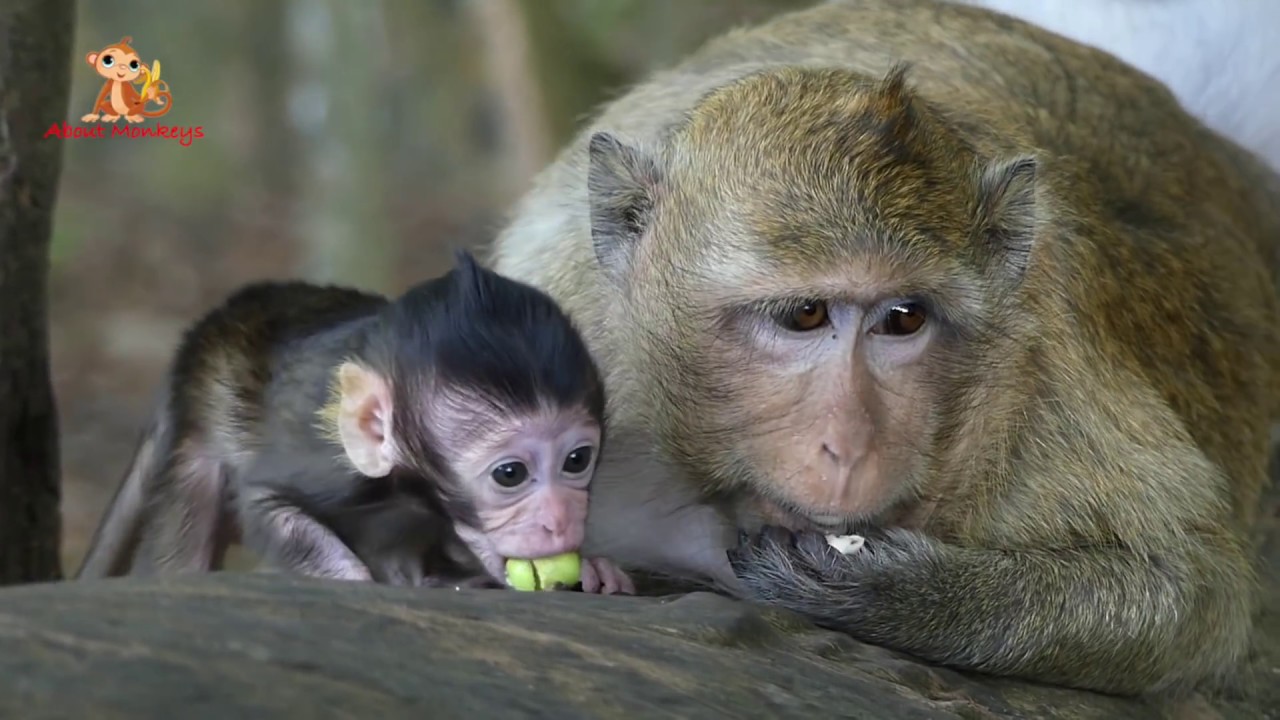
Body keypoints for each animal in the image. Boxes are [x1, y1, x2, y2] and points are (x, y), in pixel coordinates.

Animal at [76, 250, 635, 595]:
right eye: (510, 474)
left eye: (577, 461)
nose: (560, 519)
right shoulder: (325, 466)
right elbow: (265, 501)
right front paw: (355, 581)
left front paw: (592, 566)